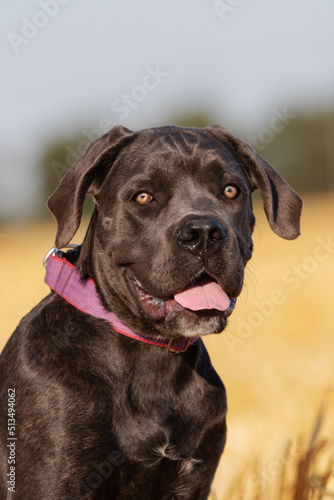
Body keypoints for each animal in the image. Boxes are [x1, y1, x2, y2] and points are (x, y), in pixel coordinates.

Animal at [0, 123, 302, 498]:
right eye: (143, 197)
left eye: (231, 190)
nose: (204, 232)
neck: (152, 357)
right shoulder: (52, 481)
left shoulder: (190, 480)